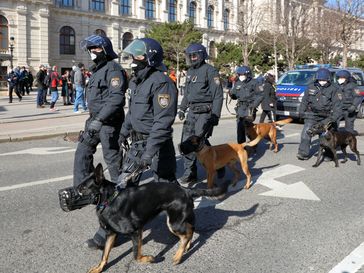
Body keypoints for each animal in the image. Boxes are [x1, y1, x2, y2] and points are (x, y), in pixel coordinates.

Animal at [78, 163, 229, 270]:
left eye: (83, 189)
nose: (74, 192)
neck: (109, 200)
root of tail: (186, 190)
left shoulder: (136, 231)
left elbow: (136, 255)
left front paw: (148, 259)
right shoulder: (110, 234)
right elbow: (104, 254)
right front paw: (99, 268)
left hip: (173, 223)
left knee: (186, 235)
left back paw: (178, 257)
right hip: (179, 220)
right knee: (191, 229)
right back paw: (185, 248)